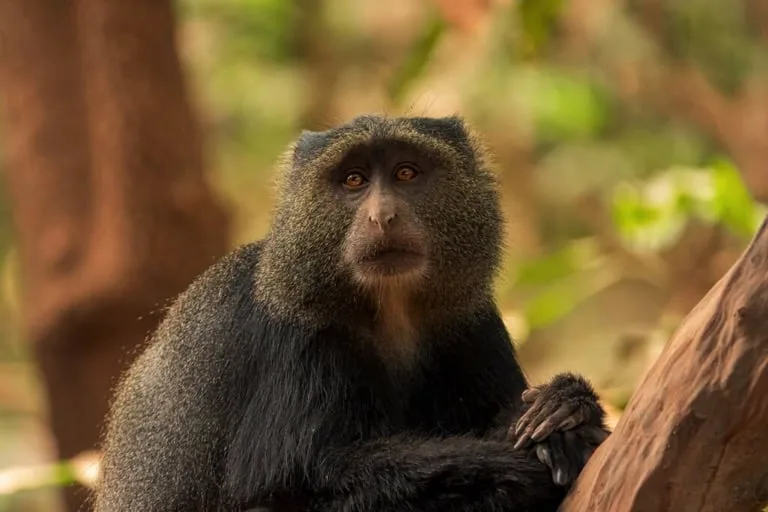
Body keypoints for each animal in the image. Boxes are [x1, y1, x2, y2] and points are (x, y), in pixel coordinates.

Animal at [94, 114, 610, 512]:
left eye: (406, 173)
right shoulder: (296, 337)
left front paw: (566, 404)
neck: (390, 311)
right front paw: (532, 455)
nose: (383, 216)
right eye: (354, 181)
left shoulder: (472, 320)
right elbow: (283, 486)